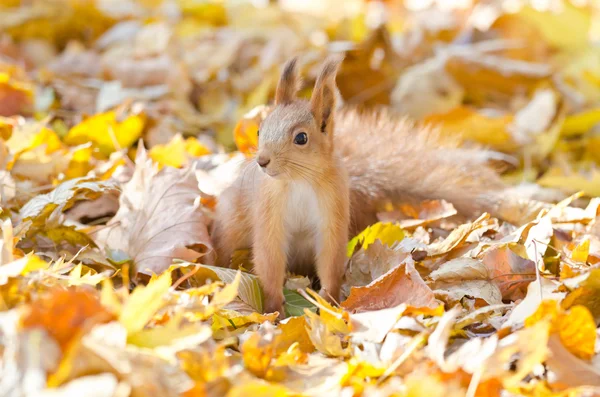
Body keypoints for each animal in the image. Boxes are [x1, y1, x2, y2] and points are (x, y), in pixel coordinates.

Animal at [213, 56, 504, 316]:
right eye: (259, 130)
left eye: (301, 138)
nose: (262, 161)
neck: (299, 180)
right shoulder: (269, 212)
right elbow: (269, 256)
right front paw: (274, 308)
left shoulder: (333, 210)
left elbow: (330, 257)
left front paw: (328, 301)